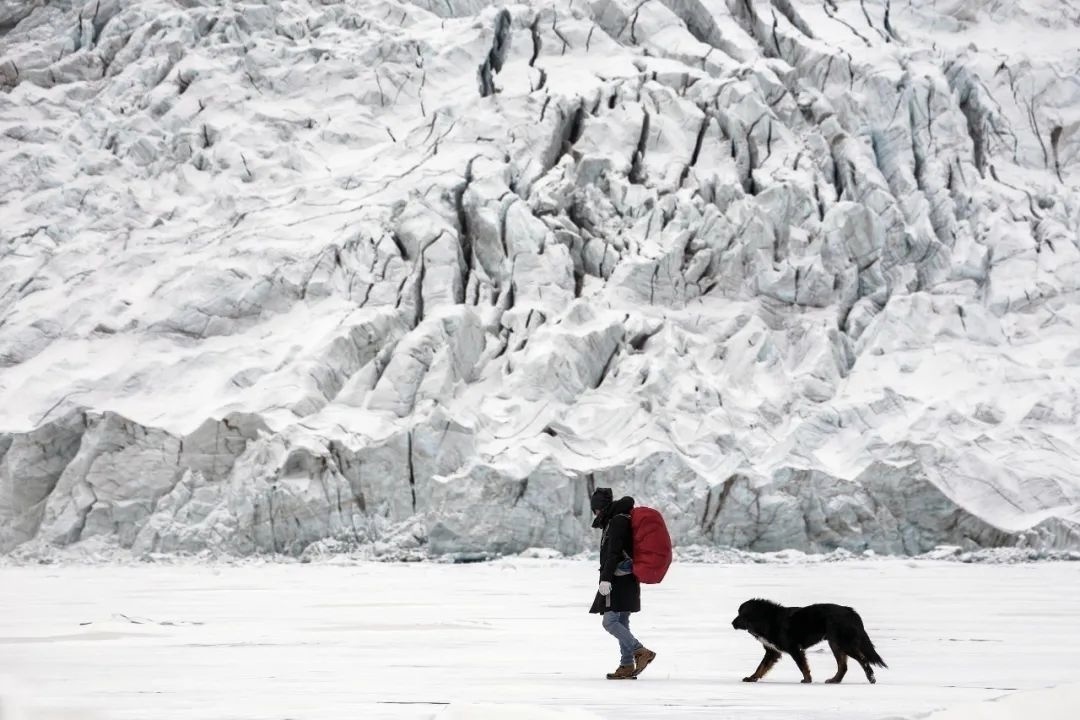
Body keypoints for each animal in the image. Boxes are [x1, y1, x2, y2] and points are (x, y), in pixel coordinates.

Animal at [734, 600, 885, 686]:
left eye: (742, 615)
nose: (732, 623)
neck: (767, 619)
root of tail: (850, 611)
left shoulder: (794, 648)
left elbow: (802, 666)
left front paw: (807, 680)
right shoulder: (772, 652)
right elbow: (761, 667)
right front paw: (752, 678)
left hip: (844, 643)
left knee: (863, 660)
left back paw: (871, 678)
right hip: (835, 644)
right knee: (843, 666)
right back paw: (834, 680)